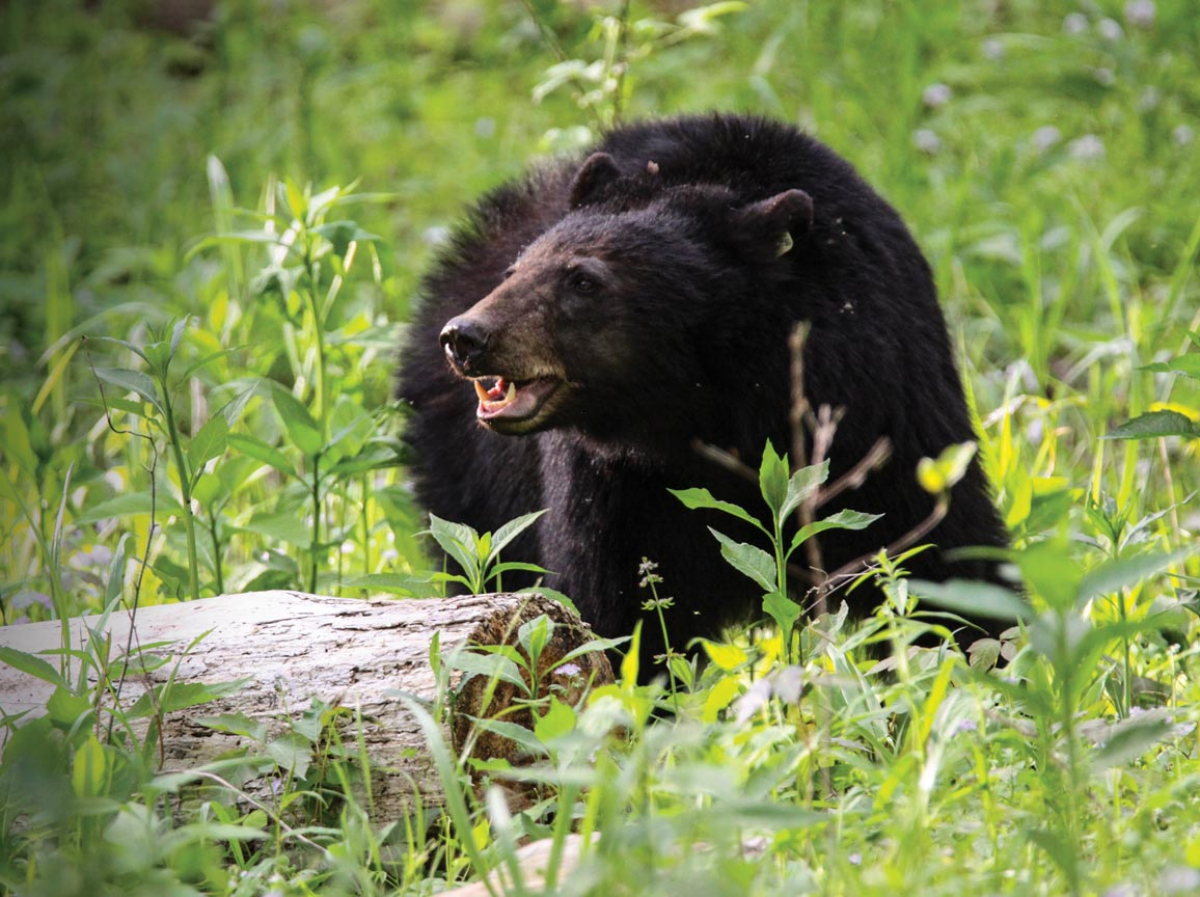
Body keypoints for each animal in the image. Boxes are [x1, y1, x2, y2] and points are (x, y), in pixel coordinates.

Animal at [398, 112, 1008, 661]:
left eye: (583, 279)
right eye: (517, 270)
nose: (466, 336)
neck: (707, 412)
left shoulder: (879, 412)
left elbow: (943, 557)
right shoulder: (614, 486)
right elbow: (614, 605)